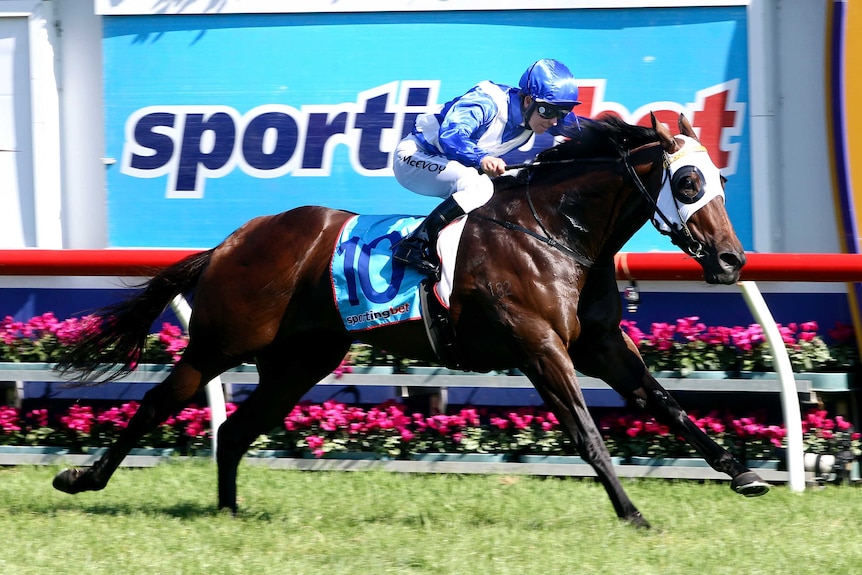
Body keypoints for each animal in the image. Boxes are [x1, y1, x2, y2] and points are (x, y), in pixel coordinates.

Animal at [52, 115, 768, 528]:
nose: (732, 259)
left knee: (235, 431)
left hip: (298, 363)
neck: (557, 233)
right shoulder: (540, 348)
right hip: (219, 343)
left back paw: (228, 515)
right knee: (156, 404)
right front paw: (634, 513)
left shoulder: (599, 344)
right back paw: (81, 478)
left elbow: (664, 403)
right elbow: (589, 435)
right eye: (687, 182)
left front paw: (743, 473)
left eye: (719, 181)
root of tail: (233, 241)